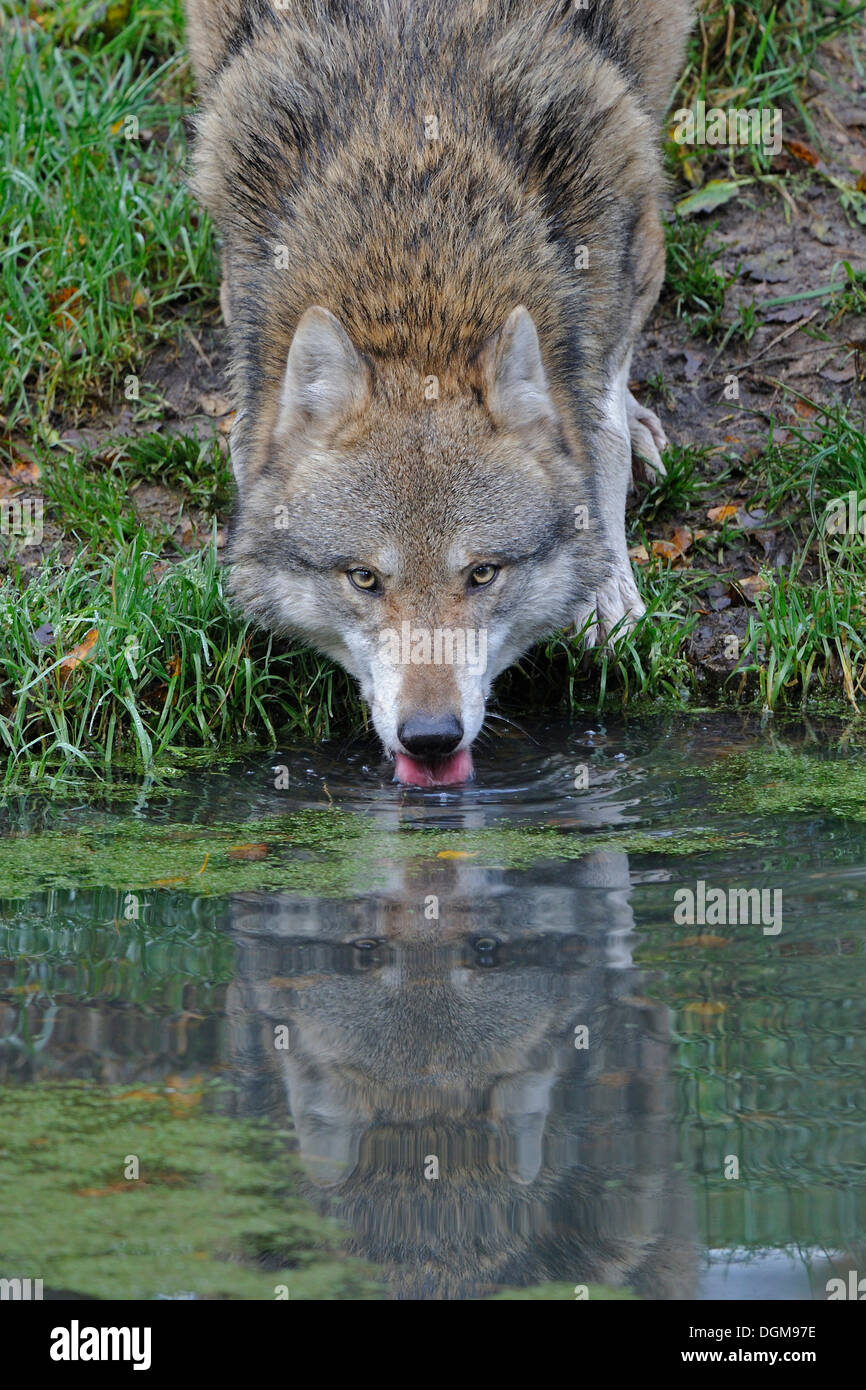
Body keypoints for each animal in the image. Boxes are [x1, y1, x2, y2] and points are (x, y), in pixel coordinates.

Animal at [186, 0, 695, 783]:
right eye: (365, 579)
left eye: (482, 574)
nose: (430, 736)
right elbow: (250, 432)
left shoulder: (627, 241)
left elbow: (600, 432)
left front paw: (606, 586)